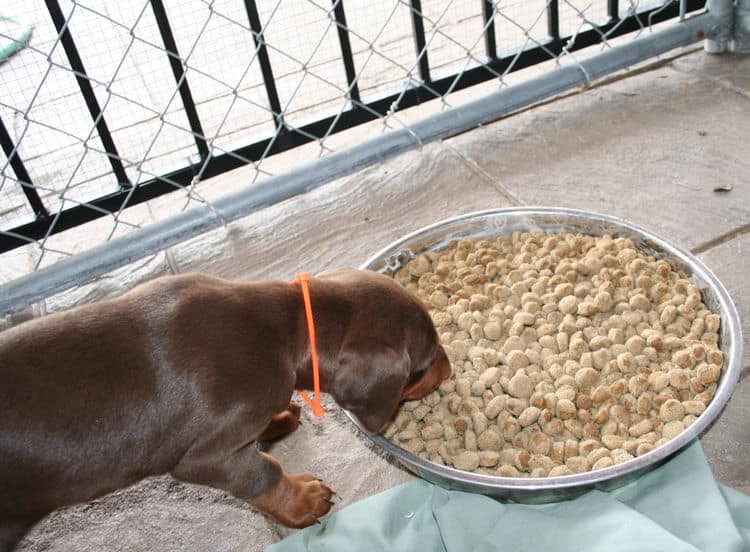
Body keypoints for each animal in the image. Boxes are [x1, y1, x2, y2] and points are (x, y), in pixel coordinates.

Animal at [0, 268, 452, 548]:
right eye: (423, 364)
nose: (449, 370)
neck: (283, 325)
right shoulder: (205, 457)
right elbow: (262, 472)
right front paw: (303, 501)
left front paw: (276, 420)